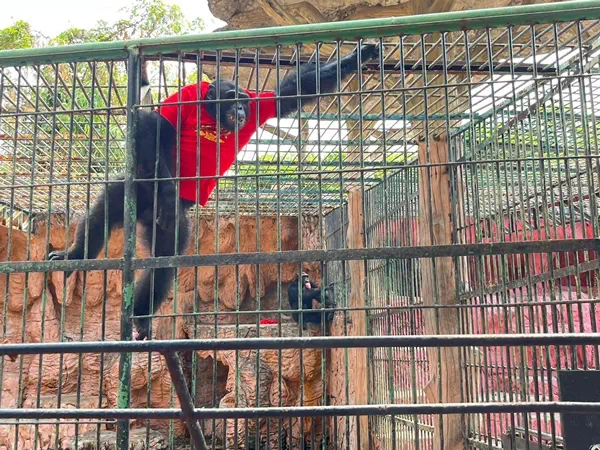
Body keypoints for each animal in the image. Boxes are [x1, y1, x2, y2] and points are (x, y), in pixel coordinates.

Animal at [48, 43, 379, 340]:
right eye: (231, 98)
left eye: (243, 99)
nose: (240, 108)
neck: (213, 115)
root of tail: (143, 213)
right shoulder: (186, 97)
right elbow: (155, 120)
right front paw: (168, 190)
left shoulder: (260, 104)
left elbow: (292, 90)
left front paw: (357, 57)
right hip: (134, 193)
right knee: (105, 211)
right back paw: (76, 255)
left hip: (166, 223)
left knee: (162, 260)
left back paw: (139, 316)